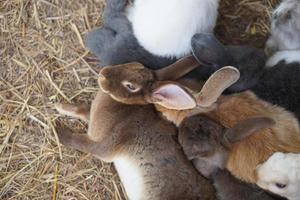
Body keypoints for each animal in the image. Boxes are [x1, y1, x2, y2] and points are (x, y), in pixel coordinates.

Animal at [55, 55, 217, 200]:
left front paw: (57, 130)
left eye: (131, 86)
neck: (129, 103)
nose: (103, 74)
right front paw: (60, 106)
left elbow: (77, 141)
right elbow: (81, 110)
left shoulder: (103, 145)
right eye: (134, 64)